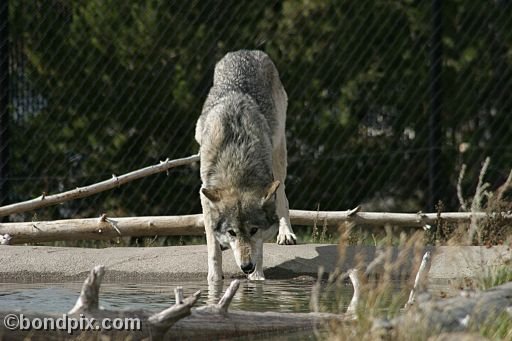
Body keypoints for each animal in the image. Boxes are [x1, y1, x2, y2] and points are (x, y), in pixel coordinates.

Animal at [195, 49, 296, 280]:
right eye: (232, 232)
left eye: (254, 230)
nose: (246, 267)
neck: (236, 163)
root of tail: (246, 51)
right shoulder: (205, 195)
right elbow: (212, 247)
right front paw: (214, 280)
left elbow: (259, 249)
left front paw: (257, 278)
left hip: (279, 156)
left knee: (283, 197)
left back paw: (286, 234)